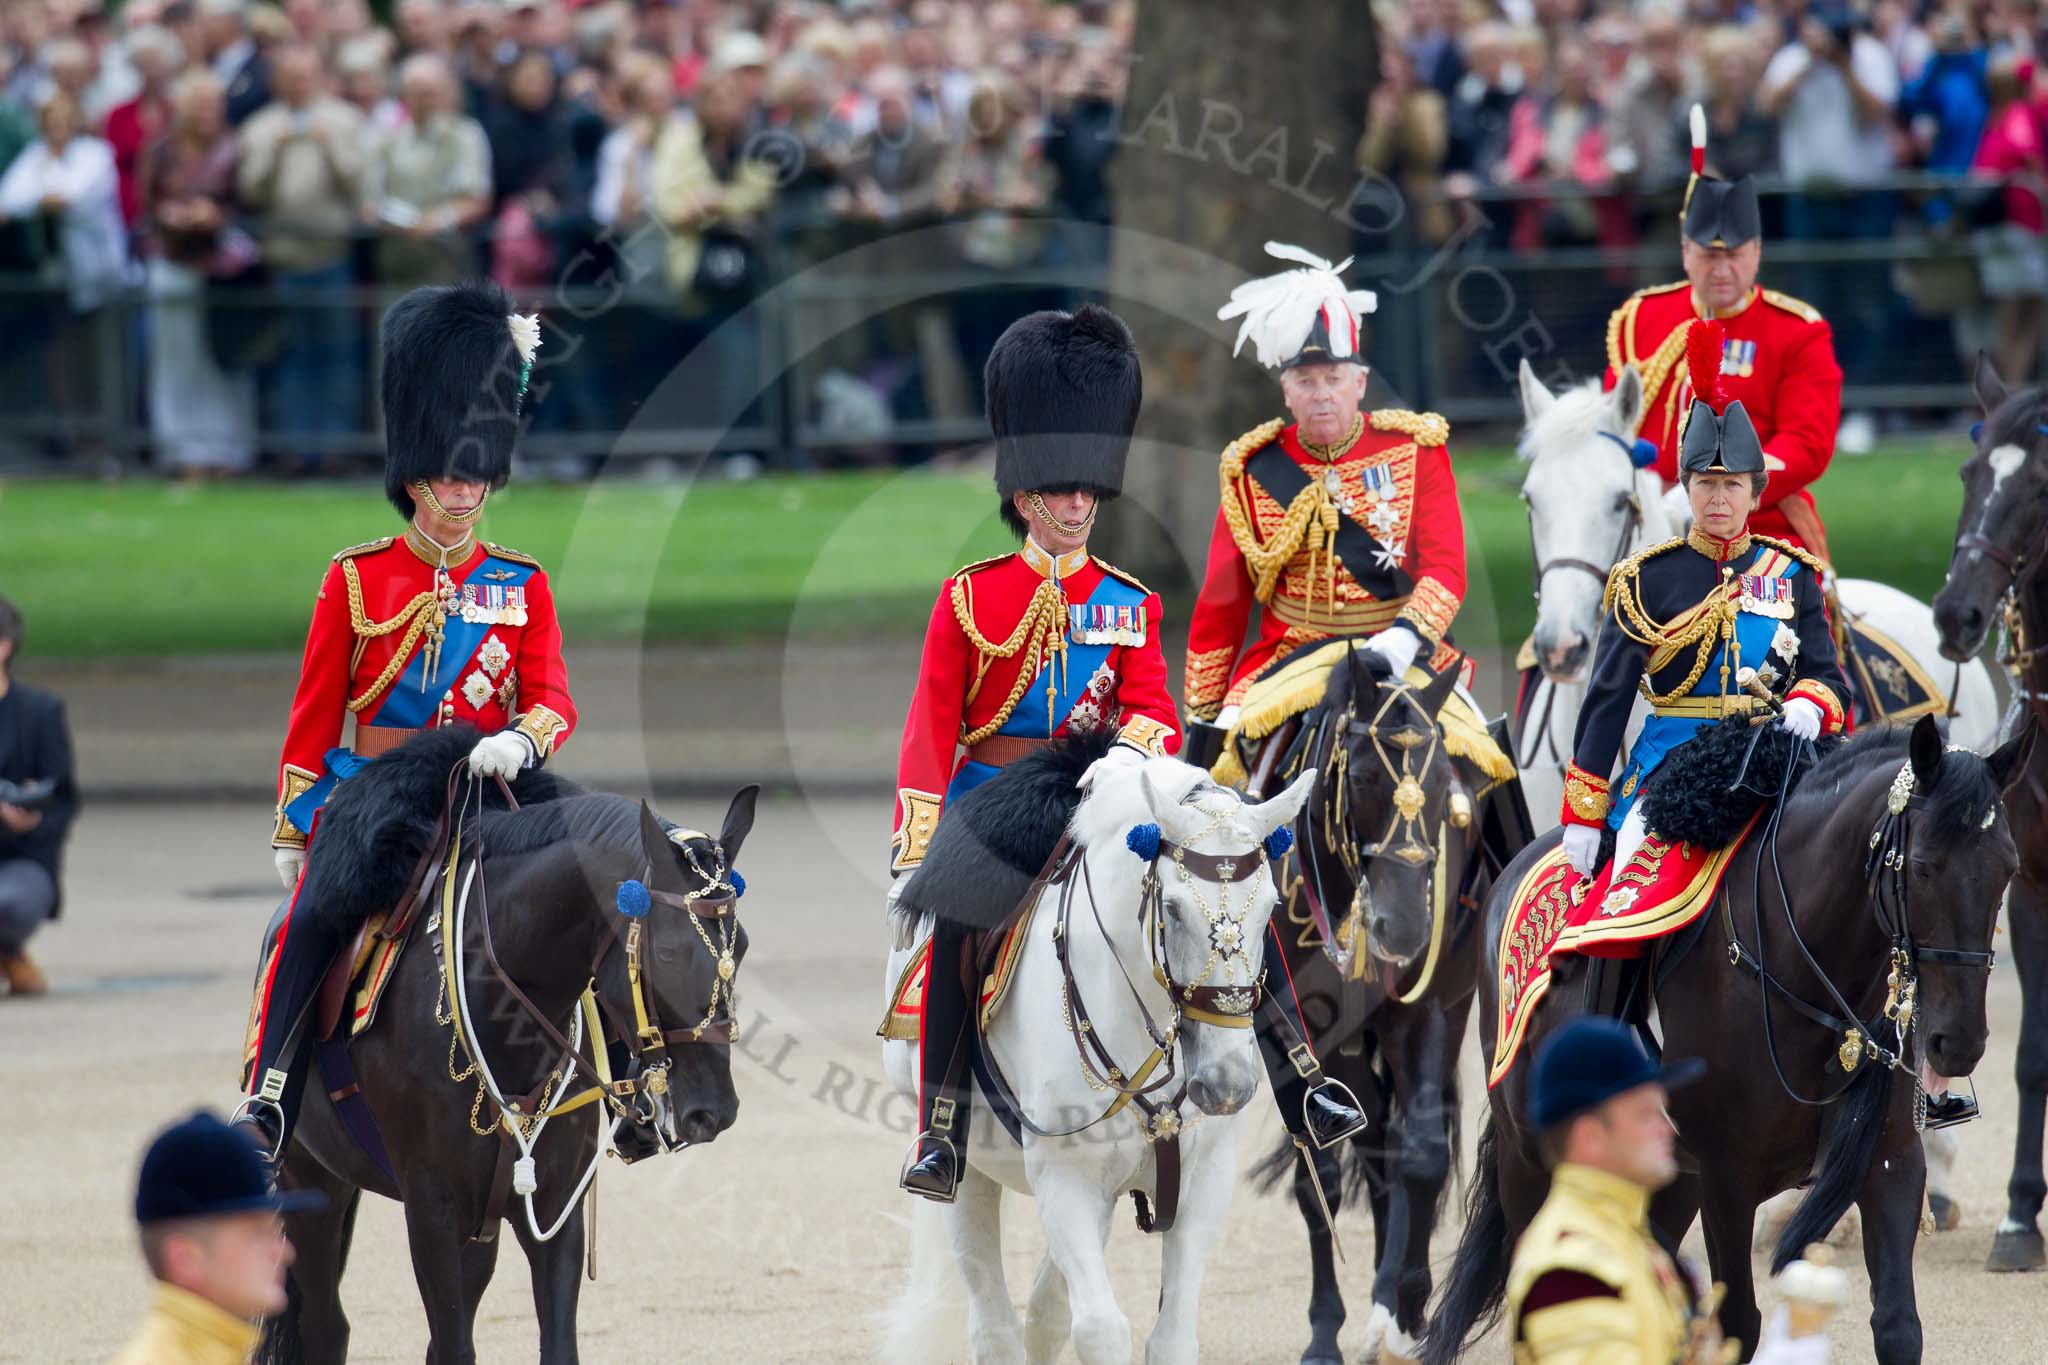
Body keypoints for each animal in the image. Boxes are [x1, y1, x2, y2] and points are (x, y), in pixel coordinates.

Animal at [251, 736, 757, 1365]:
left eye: (741, 945)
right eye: (664, 952)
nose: (717, 1109)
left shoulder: (554, 1204)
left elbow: (552, 1344)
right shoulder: (432, 1210)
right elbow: (452, 1345)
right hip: (311, 1181)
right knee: (326, 1326)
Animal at [1245, 654, 1523, 1365]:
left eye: (1446, 786)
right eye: (1364, 777)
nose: (1405, 930)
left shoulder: (1429, 1014)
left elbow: (1420, 1155)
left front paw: (1410, 1307)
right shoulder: (1288, 1031)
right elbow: (1318, 1175)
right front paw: (1325, 1330)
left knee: (1390, 1144)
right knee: (1366, 1144)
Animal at [1433, 716, 2023, 1365]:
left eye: (2008, 869)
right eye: (1920, 866)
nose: (1958, 1043)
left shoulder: (1891, 1159)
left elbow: (1897, 1325)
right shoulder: (1726, 1178)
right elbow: (1738, 1322)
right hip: (1529, 1160)